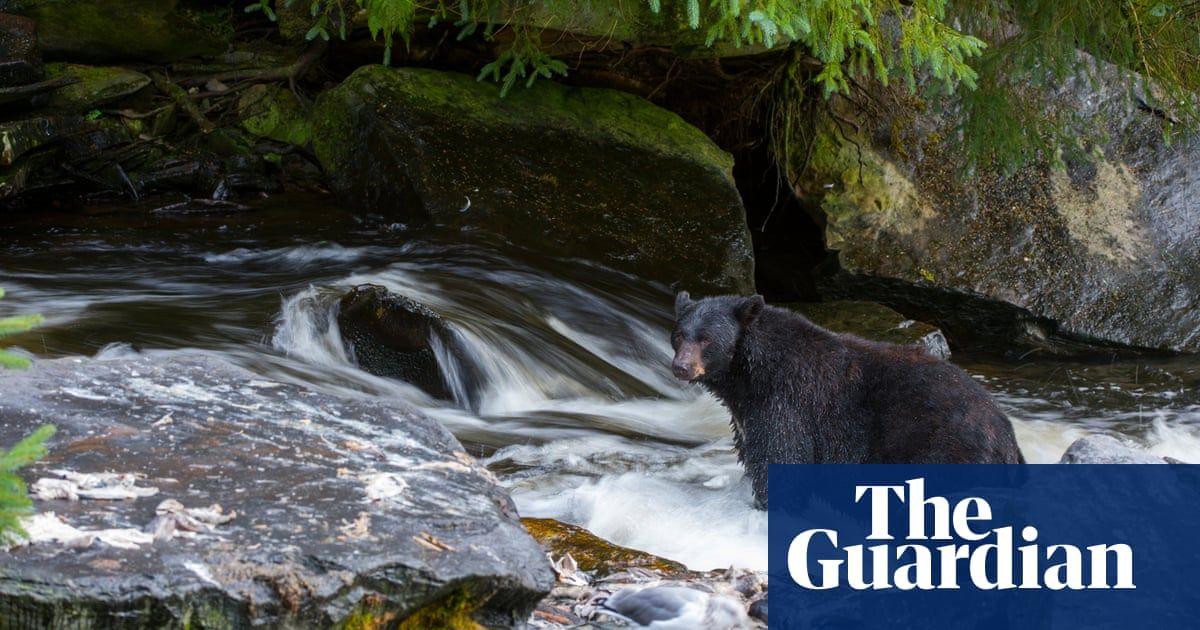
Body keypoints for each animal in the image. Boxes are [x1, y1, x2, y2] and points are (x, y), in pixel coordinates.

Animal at [672, 292, 1027, 508]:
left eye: (706, 339)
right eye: (679, 335)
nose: (681, 366)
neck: (751, 374)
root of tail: (1006, 433)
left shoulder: (788, 403)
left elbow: (782, 459)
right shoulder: (748, 414)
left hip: (945, 451)